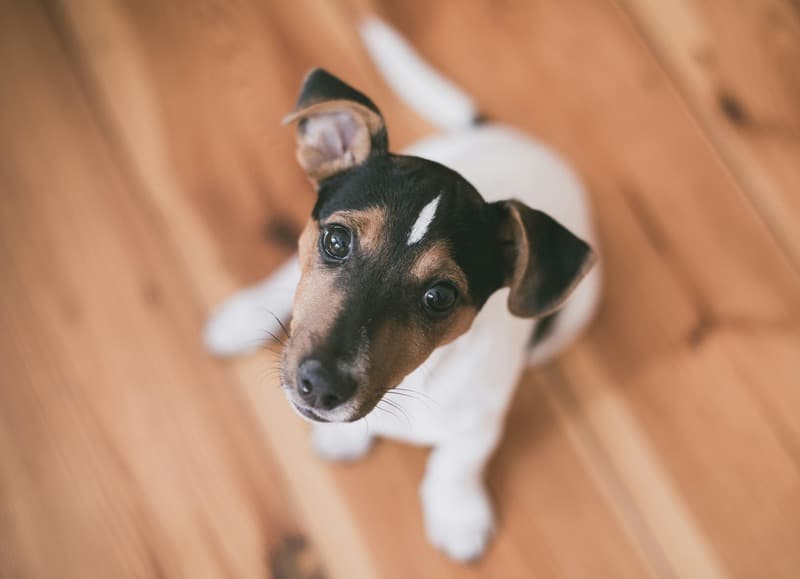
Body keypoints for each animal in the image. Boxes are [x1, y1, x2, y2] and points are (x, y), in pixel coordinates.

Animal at [206, 17, 600, 560]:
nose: (321, 387)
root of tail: (512, 136)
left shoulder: (481, 421)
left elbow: (457, 461)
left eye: (440, 297)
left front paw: (456, 513)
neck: (416, 381)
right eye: (336, 240)